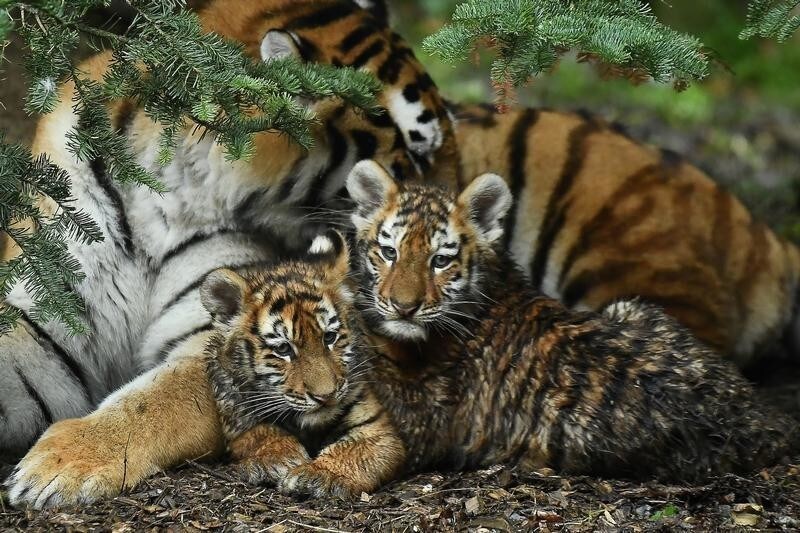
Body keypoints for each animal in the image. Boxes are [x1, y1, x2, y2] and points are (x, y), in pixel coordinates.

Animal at [200, 236, 404, 499]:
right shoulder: (237, 418)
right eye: (283, 349)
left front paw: (321, 475)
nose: (325, 396)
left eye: (329, 337)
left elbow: (355, 448)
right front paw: (276, 459)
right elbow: (260, 433)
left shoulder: (378, 428)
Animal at [343, 159, 795, 480]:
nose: (403, 306)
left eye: (440, 261)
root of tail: (765, 422)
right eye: (389, 253)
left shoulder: (420, 416)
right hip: (630, 307)